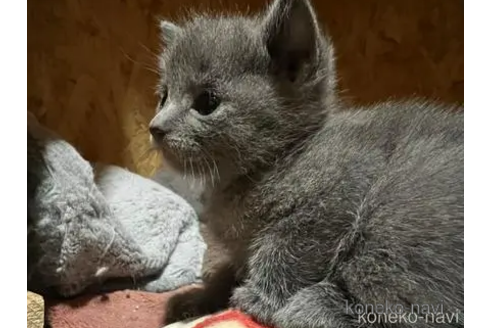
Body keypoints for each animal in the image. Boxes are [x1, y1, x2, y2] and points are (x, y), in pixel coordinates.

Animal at [149, 1, 462, 326]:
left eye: (207, 102)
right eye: (164, 96)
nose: (155, 127)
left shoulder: (335, 198)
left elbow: (290, 250)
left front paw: (259, 298)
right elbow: (230, 268)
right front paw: (197, 299)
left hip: (396, 215)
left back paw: (315, 307)